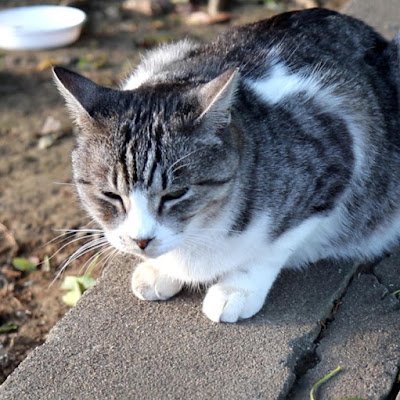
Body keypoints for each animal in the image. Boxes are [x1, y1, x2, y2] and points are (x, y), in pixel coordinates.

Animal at [55, 7, 400, 322]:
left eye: (175, 194)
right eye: (110, 195)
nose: (141, 241)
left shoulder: (334, 164)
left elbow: (271, 247)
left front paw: (236, 289)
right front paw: (160, 270)